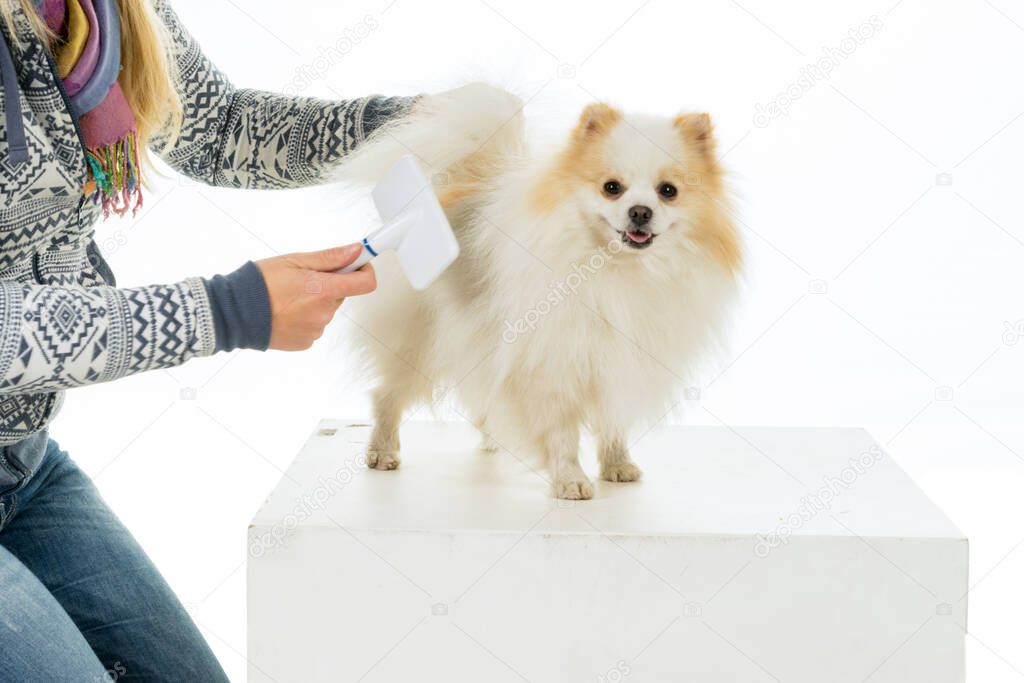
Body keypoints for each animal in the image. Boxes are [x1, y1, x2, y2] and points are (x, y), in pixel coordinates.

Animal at [339, 87, 741, 501]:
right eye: (612, 188)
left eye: (668, 191)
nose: (641, 212)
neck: (616, 269)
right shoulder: (551, 363)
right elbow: (562, 432)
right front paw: (570, 479)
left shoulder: (618, 361)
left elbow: (612, 419)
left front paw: (617, 464)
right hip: (419, 339)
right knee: (387, 395)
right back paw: (382, 451)